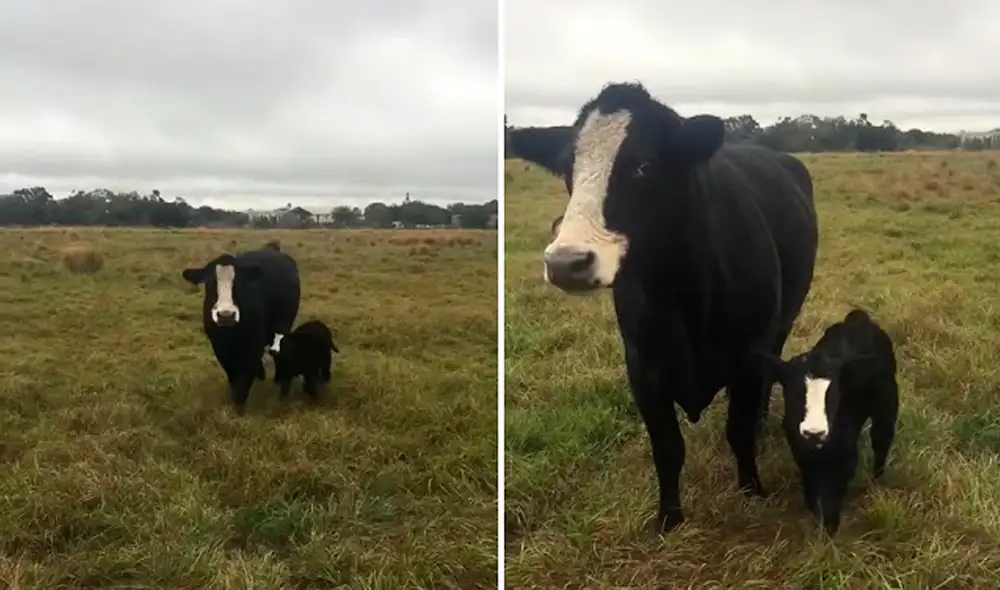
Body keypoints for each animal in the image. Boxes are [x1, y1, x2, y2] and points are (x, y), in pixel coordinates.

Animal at [181, 241, 301, 414]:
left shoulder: (253, 345)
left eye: (238, 284)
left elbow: (244, 379)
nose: (226, 315)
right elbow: (233, 376)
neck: (231, 333)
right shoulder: (220, 348)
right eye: (210, 284)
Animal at [531, 81, 818, 534]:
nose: (565, 263)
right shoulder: (641, 367)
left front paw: (751, 490)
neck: (679, 293)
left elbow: (738, 431)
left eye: (644, 165)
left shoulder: (749, 358)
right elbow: (667, 448)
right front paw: (669, 517)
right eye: (566, 168)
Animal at [752, 309, 899, 535]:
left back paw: (876, 481)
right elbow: (811, 482)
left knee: (882, 439)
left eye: (834, 394)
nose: (815, 432)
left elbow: (835, 488)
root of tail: (857, 319)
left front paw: (830, 529)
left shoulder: (844, 450)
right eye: (793, 392)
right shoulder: (800, 447)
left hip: (887, 402)